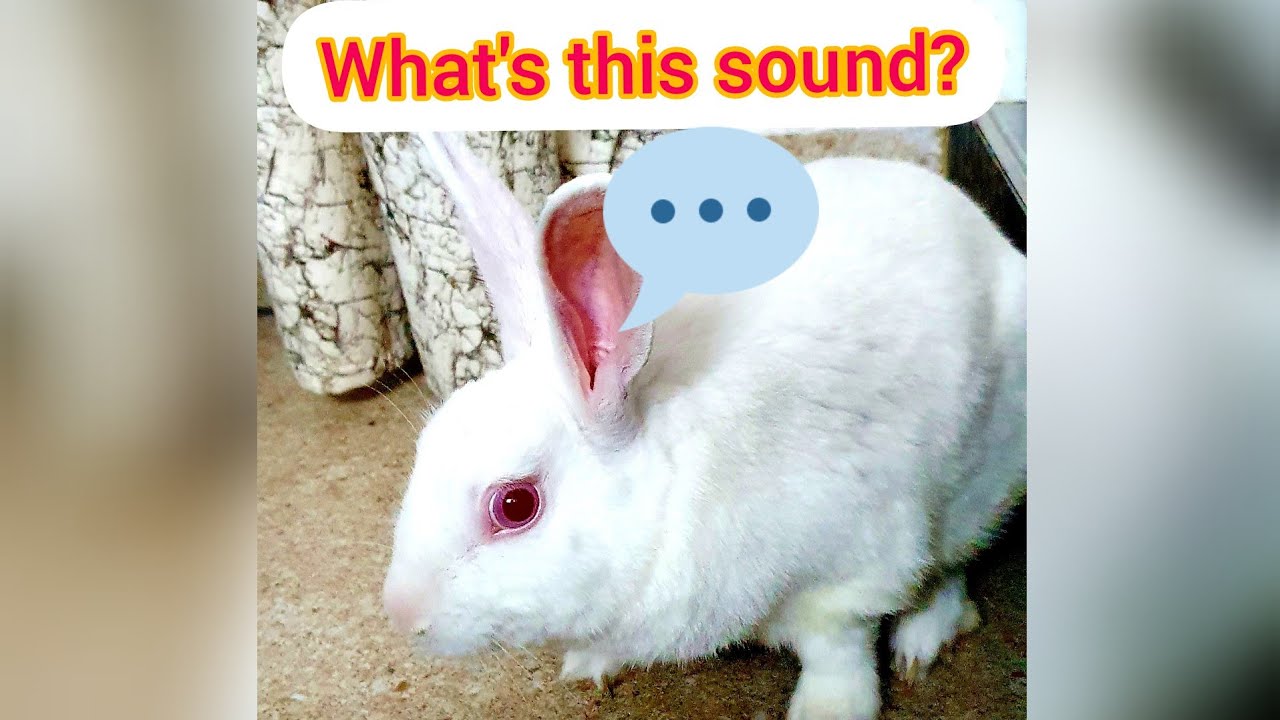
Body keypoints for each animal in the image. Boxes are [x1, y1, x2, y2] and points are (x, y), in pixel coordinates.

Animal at [382, 131, 1026, 720]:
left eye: (515, 506)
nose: (402, 614)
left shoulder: (852, 571)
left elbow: (838, 649)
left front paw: (828, 709)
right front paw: (590, 666)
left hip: (977, 482)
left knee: (953, 565)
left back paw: (922, 640)